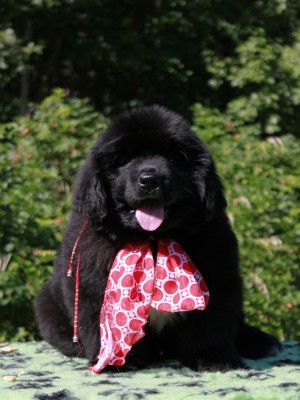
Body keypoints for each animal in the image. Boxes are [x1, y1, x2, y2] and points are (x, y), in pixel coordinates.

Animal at [35, 104, 282, 370]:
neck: (153, 242)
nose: (150, 180)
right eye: (125, 159)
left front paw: (214, 357)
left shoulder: (217, 277)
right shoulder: (94, 286)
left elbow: (211, 325)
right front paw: (116, 359)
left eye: (174, 158)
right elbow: (103, 324)